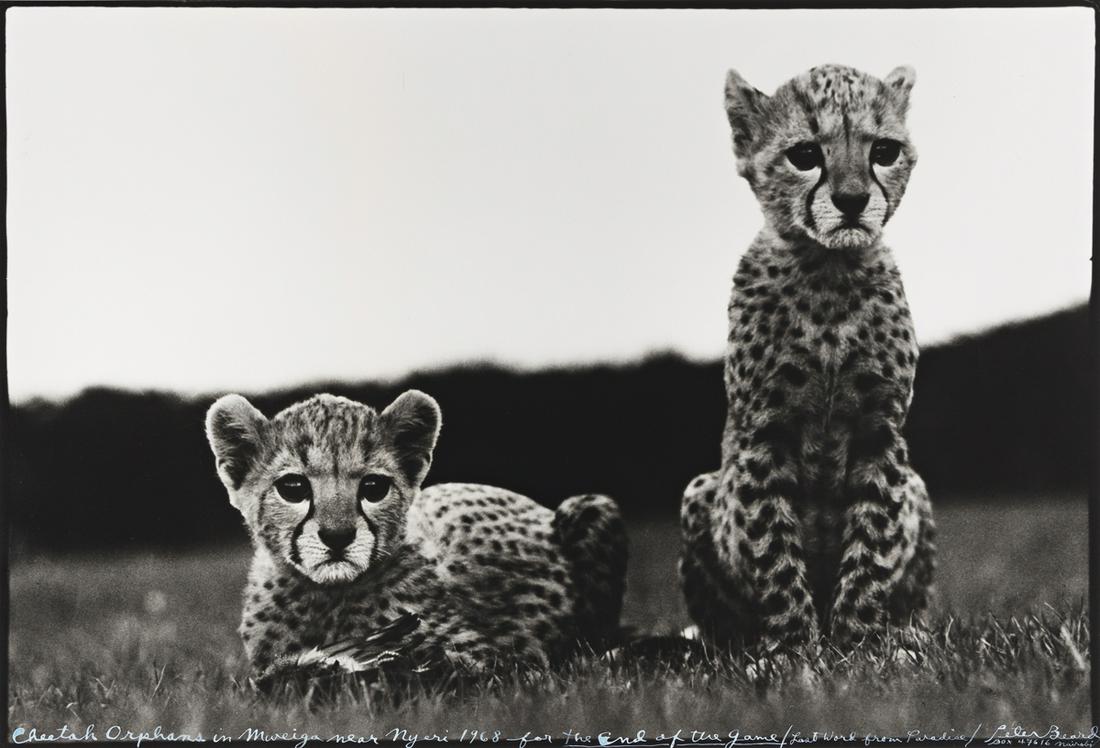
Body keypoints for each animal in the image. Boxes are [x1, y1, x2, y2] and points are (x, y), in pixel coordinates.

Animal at [205, 389, 627, 689]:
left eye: (374, 488)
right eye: (293, 488)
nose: (338, 536)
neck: (327, 597)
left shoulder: (491, 660)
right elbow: (275, 676)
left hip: (593, 506)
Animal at [679, 64, 935, 654]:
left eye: (883, 151)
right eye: (804, 155)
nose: (851, 199)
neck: (828, 271)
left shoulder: (881, 430)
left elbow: (873, 541)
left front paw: (859, 644)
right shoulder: (763, 433)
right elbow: (773, 546)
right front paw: (794, 648)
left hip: (918, 487)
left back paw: (908, 633)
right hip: (700, 490)